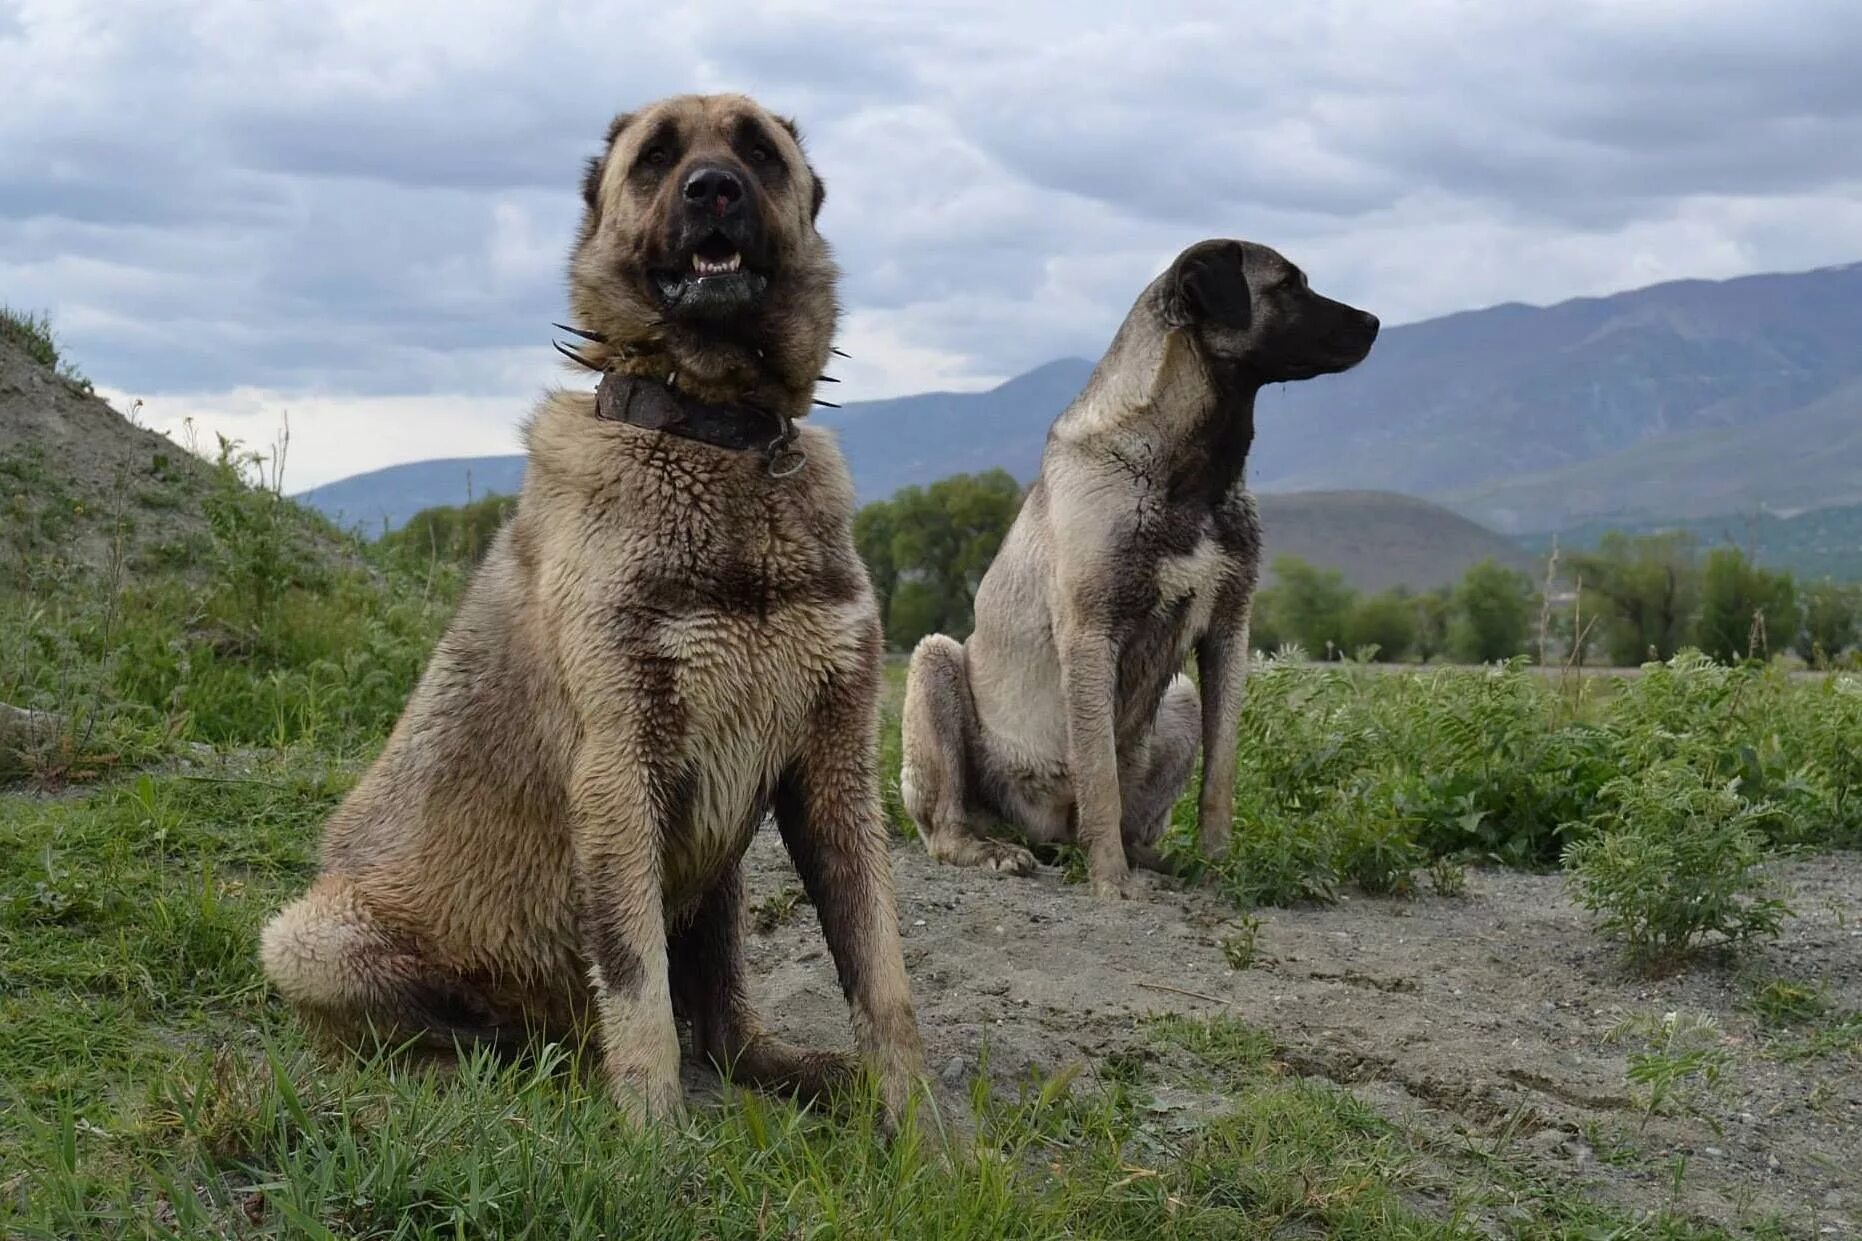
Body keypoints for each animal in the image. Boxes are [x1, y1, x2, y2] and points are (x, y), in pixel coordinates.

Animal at [258, 94, 927, 1118]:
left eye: (757, 152)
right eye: (656, 159)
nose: (712, 189)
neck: (714, 436)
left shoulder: (832, 769)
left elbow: (880, 974)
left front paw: (924, 1133)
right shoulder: (619, 766)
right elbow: (638, 987)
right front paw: (652, 1135)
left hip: (720, 872)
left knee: (725, 1023)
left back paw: (787, 1066)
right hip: (307, 938)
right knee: (437, 1035)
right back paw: (502, 1069)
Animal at [901, 242, 1385, 894]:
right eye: (1288, 285)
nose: (1375, 322)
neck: (1192, 473)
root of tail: (1044, 835)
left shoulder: (1228, 632)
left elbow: (1220, 774)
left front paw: (1219, 866)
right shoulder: (1090, 636)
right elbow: (1098, 774)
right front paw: (1111, 883)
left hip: (1178, 699)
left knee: (1139, 821)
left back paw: (1158, 860)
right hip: (934, 662)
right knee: (948, 823)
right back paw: (996, 850)